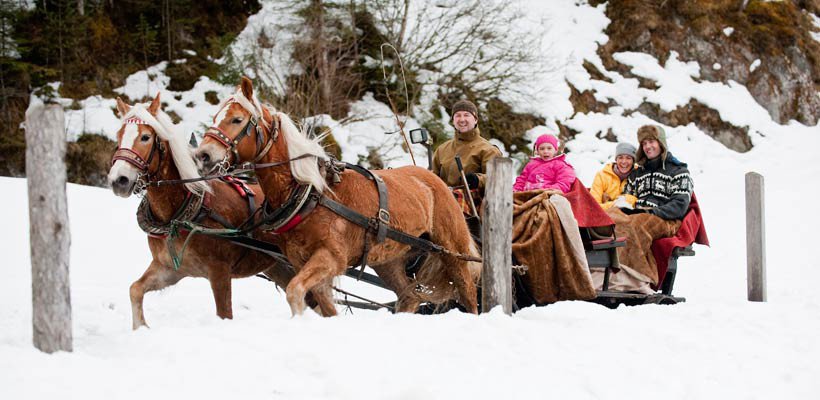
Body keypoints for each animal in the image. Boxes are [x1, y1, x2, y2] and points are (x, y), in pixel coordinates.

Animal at [107, 93, 334, 328]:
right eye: (119, 135)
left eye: (145, 137)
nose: (119, 180)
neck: (181, 213)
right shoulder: (169, 268)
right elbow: (135, 289)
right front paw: (141, 328)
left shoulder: (219, 271)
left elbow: (224, 313)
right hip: (279, 267)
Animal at [194, 77, 480, 316]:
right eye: (217, 116)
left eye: (237, 120)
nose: (203, 154)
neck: (309, 193)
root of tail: (436, 181)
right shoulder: (302, 260)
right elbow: (324, 305)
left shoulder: (332, 257)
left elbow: (295, 292)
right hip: (389, 259)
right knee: (408, 296)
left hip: (453, 250)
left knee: (468, 292)